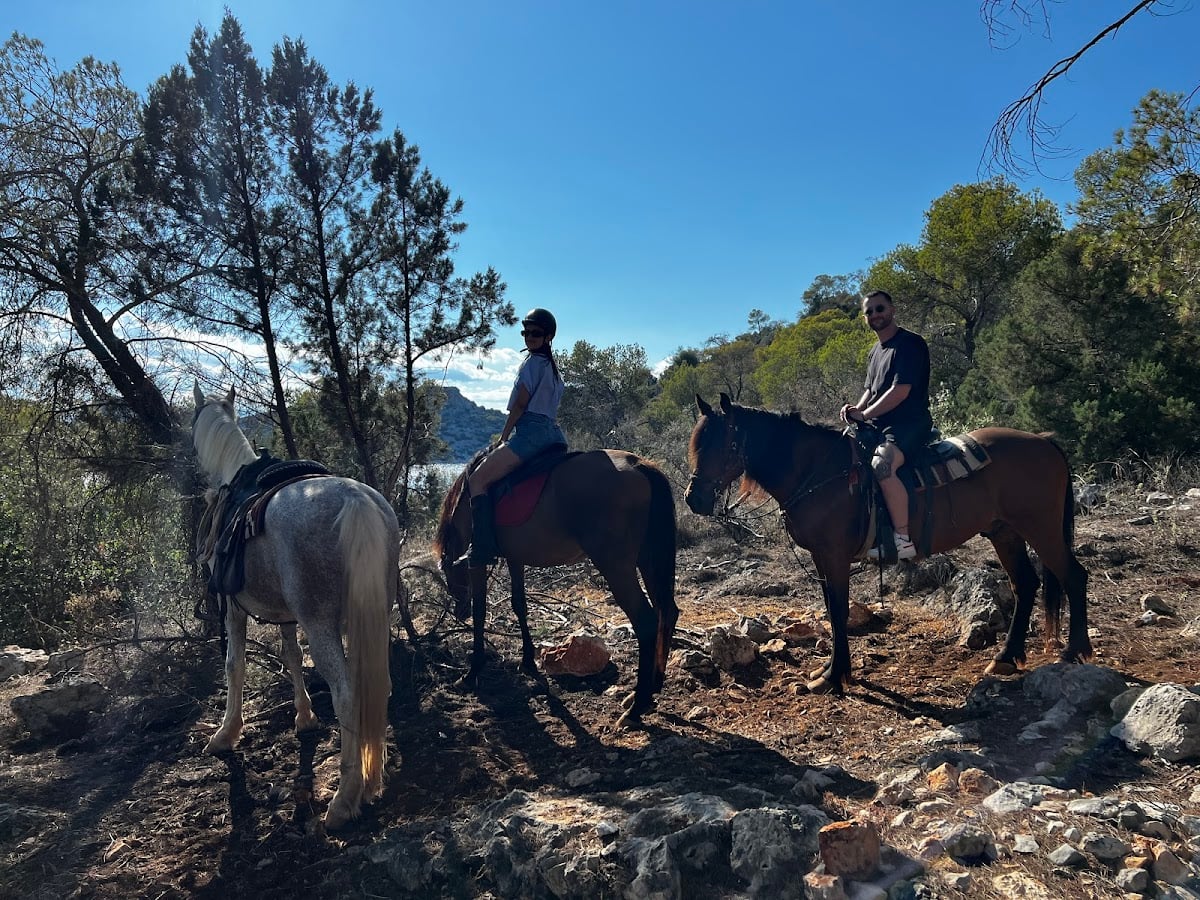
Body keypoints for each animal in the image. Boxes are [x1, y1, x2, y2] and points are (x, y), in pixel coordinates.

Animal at [191, 385, 399, 829]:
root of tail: (355, 499)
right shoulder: (287, 615)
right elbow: (290, 655)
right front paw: (304, 718)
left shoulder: (232, 606)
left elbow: (234, 664)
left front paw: (225, 733)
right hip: (376, 614)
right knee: (380, 683)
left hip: (320, 624)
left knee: (346, 693)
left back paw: (344, 798)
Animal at [433, 449, 678, 728]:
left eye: (447, 571)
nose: (459, 611)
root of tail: (638, 465)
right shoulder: (515, 557)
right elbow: (519, 604)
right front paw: (528, 661)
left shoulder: (477, 563)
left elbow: (481, 612)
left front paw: (473, 671)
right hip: (648, 558)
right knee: (667, 612)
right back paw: (652, 690)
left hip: (616, 565)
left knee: (646, 621)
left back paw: (636, 708)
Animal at [685, 393, 1091, 694]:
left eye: (726, 444)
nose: (694, 499)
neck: (817, 472)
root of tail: (1044, 441)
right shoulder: (820, 557)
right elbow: (831, 610)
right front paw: (831, 670)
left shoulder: (834, 556)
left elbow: (838, 611)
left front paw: (835, 677)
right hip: (1004, 531)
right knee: (1026, 584)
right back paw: (1007, 657)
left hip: (1041, 528)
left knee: (1074, 576)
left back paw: (1074, 651)